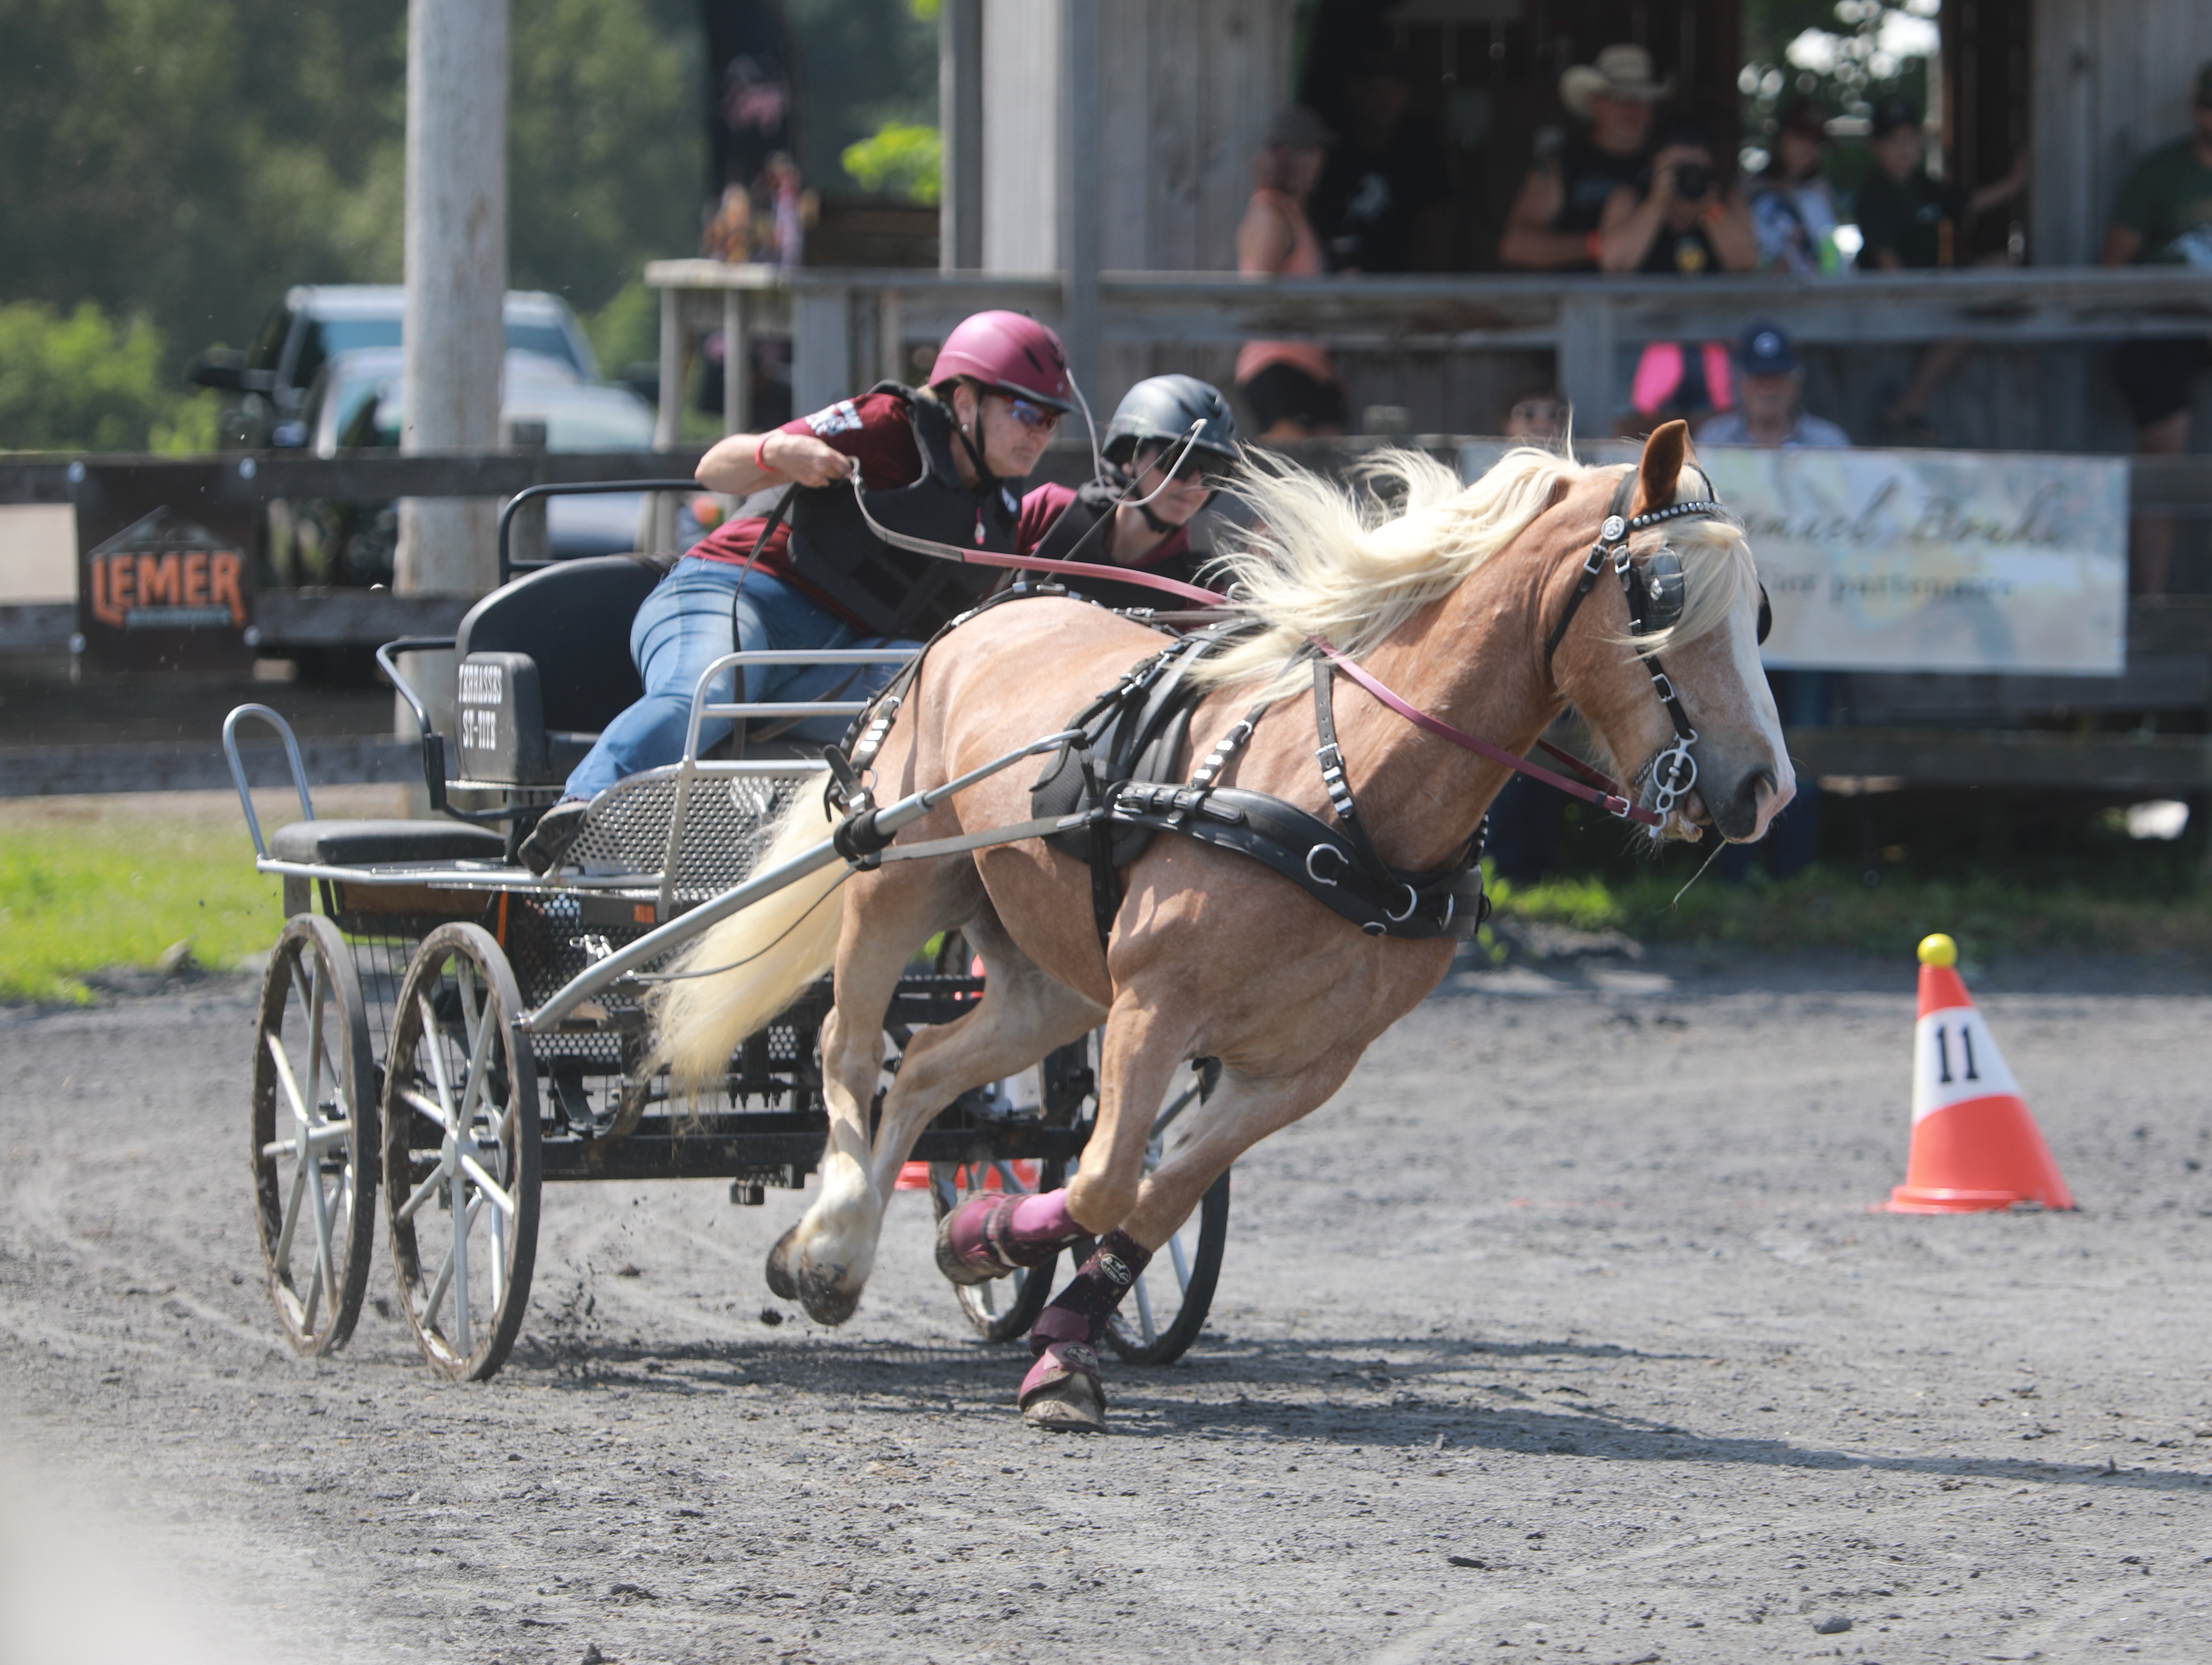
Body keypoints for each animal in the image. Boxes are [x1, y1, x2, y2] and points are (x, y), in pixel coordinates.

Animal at [646, 424, 1787, 1433]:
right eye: (1663, 593)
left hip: (1049, 980)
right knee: (848, 1052)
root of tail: (984, 616)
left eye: (1761, 611)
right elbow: (1106, 1178)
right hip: (900, 883)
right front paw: (1014, 1272)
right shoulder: (1156, 1006)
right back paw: (830, 1247)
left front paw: (1020, 1289)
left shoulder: (1303, 1067)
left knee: (925, 1065)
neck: (1347, 791)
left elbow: (1155, 1197)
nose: (1764, 789)